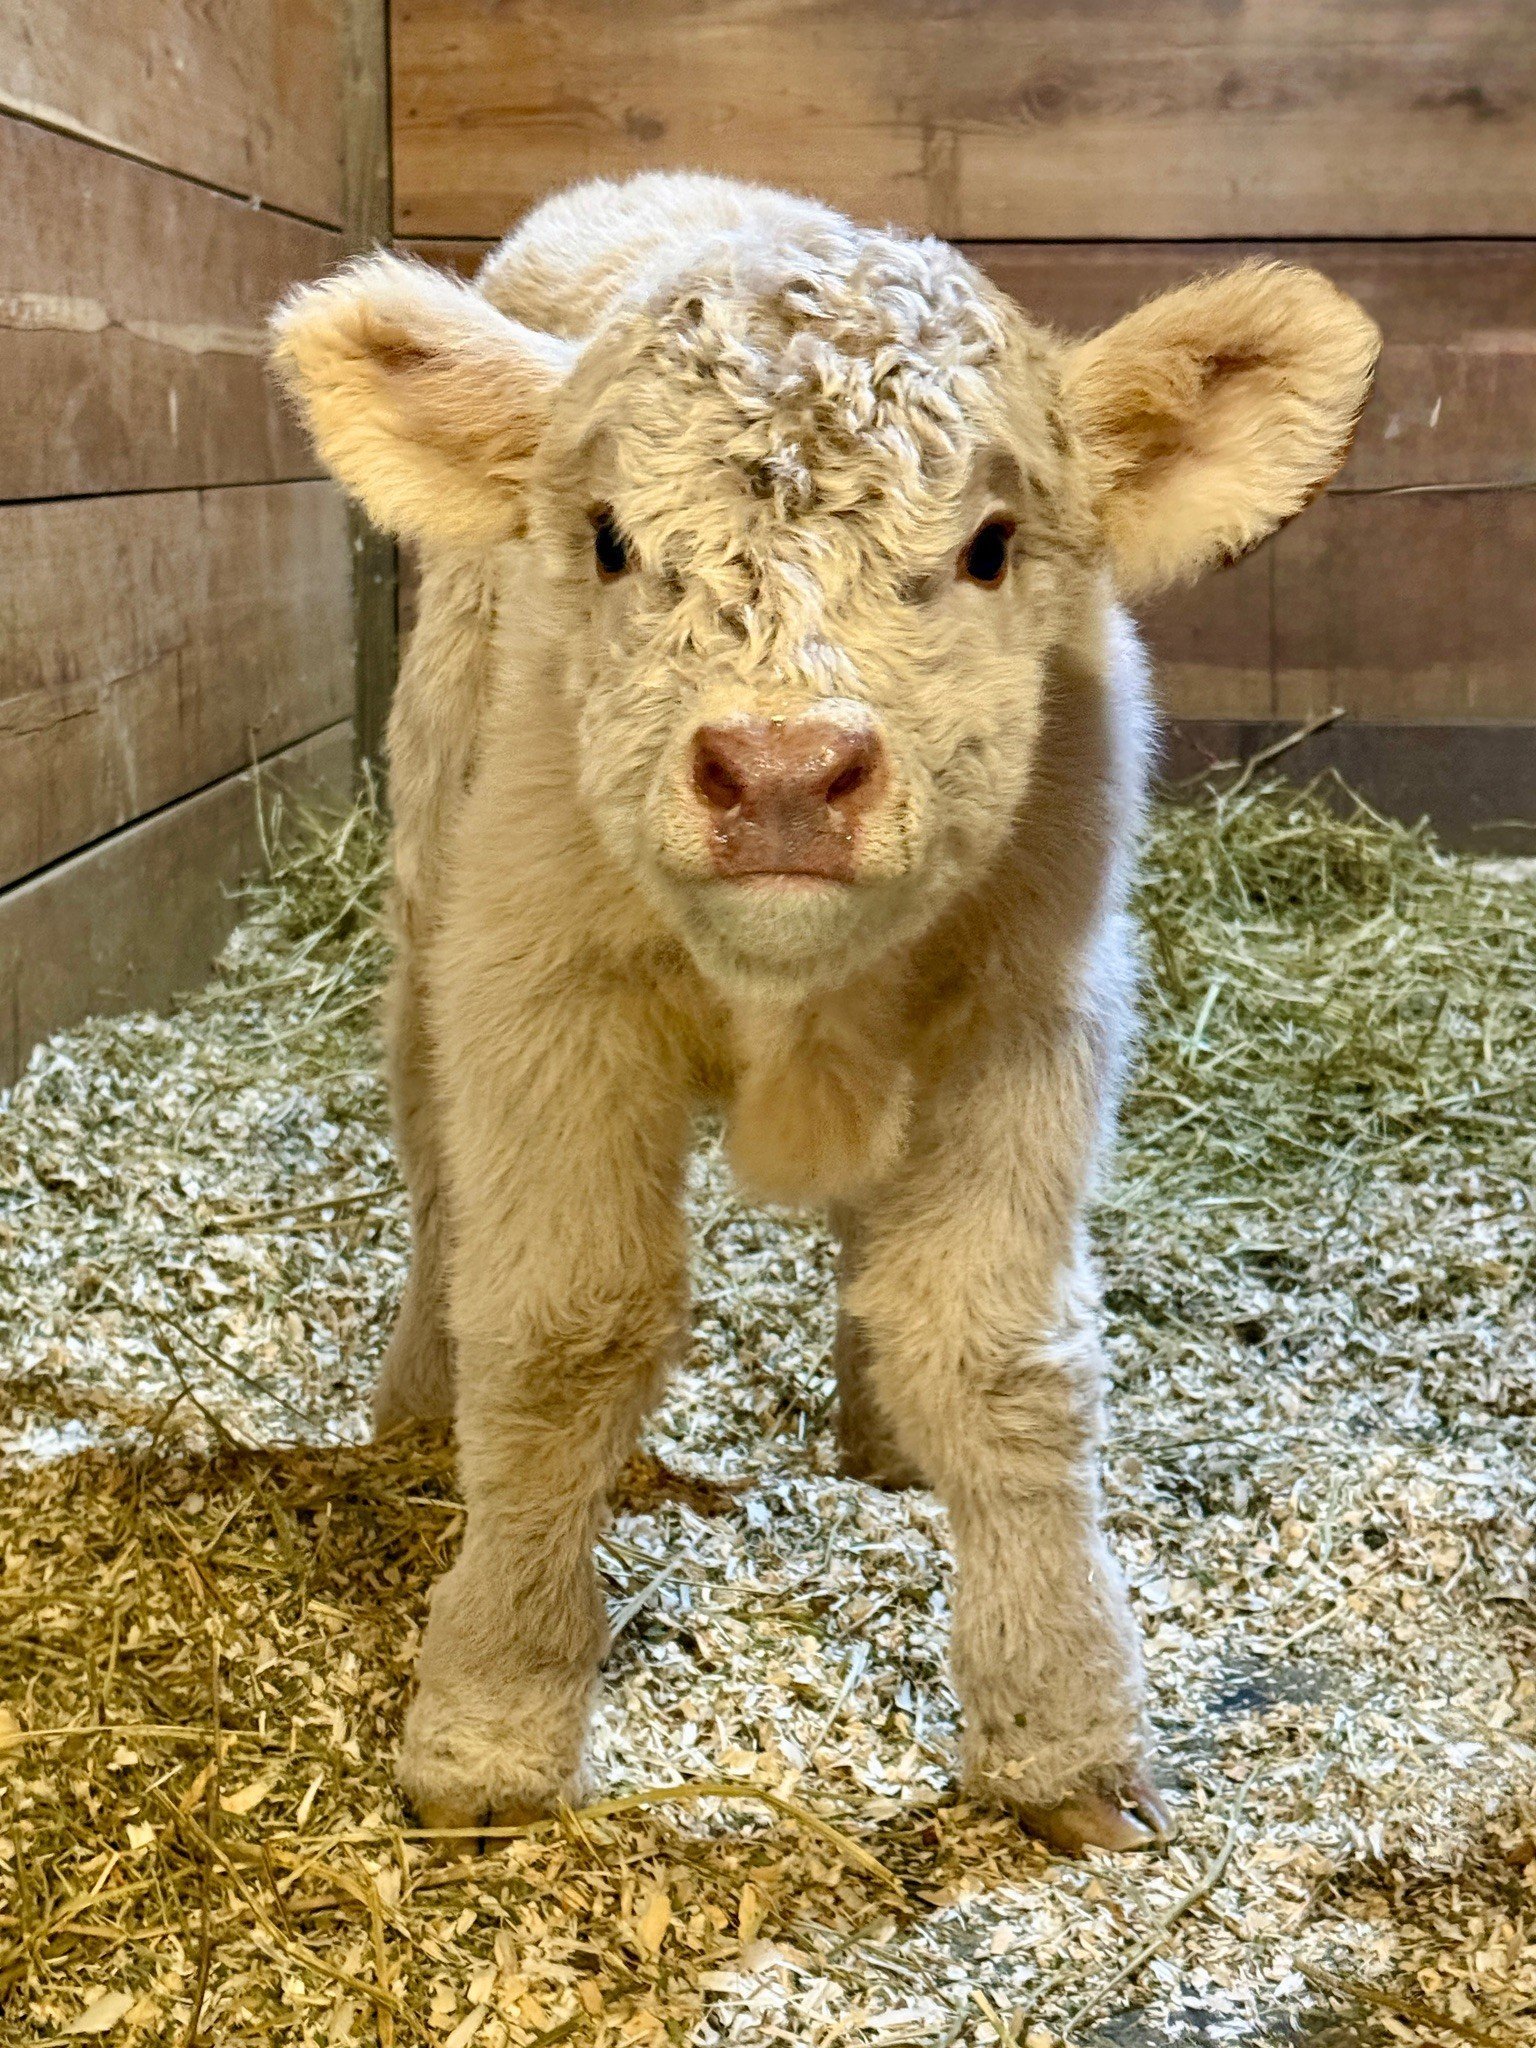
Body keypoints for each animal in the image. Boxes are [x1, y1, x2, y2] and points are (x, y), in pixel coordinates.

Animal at [272, 173, 1378, 1853]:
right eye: (608, 540)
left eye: (991, 544)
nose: (784, 771)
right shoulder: (537, 991)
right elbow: (562, 1334)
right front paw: (491, 1718)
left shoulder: (1031, 1008)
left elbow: (996, 1352)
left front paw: (1063, 1731)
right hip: (422, 918)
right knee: (438, 1194)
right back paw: (410, 1416)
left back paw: (881, 1440)